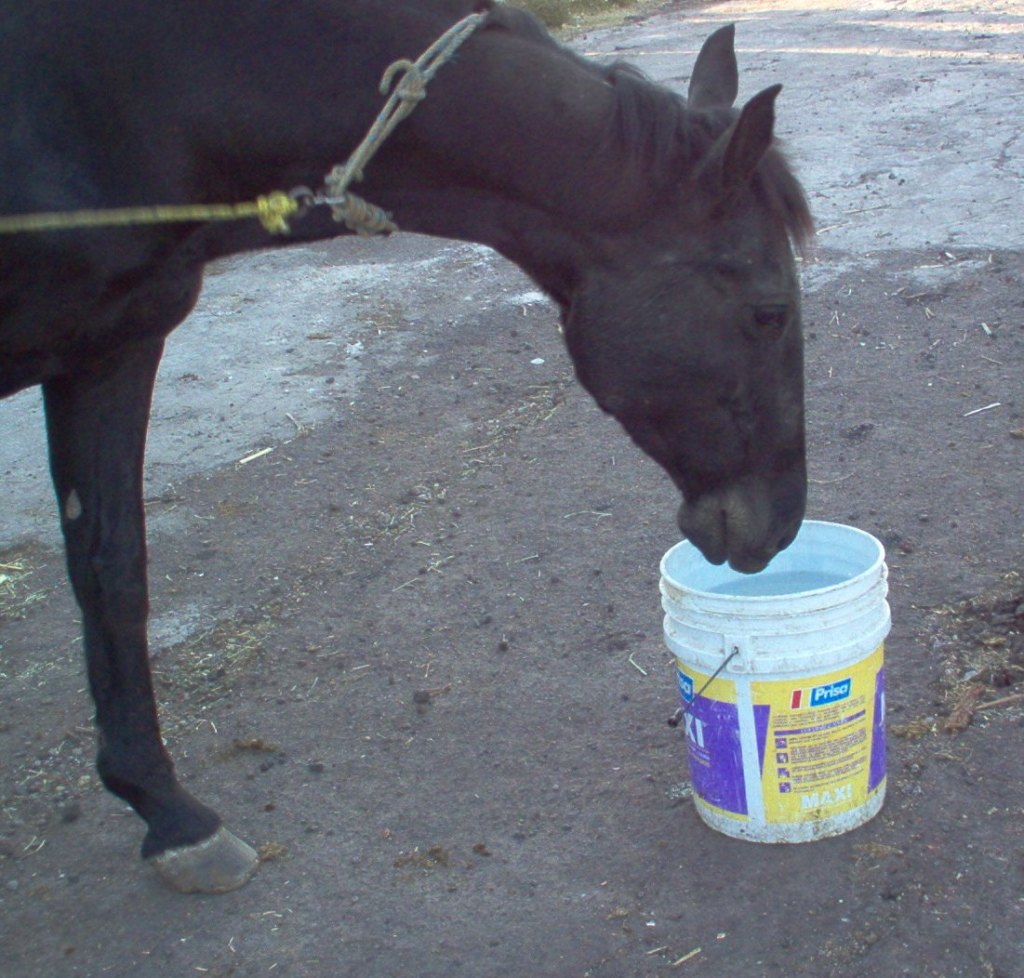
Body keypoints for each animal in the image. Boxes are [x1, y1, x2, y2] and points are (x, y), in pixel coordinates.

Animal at [0, 0, 812, 892]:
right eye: (769, 311)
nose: (782, 524)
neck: (118, 101)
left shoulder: (110, 348)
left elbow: (112, 575)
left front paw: (168, 812)